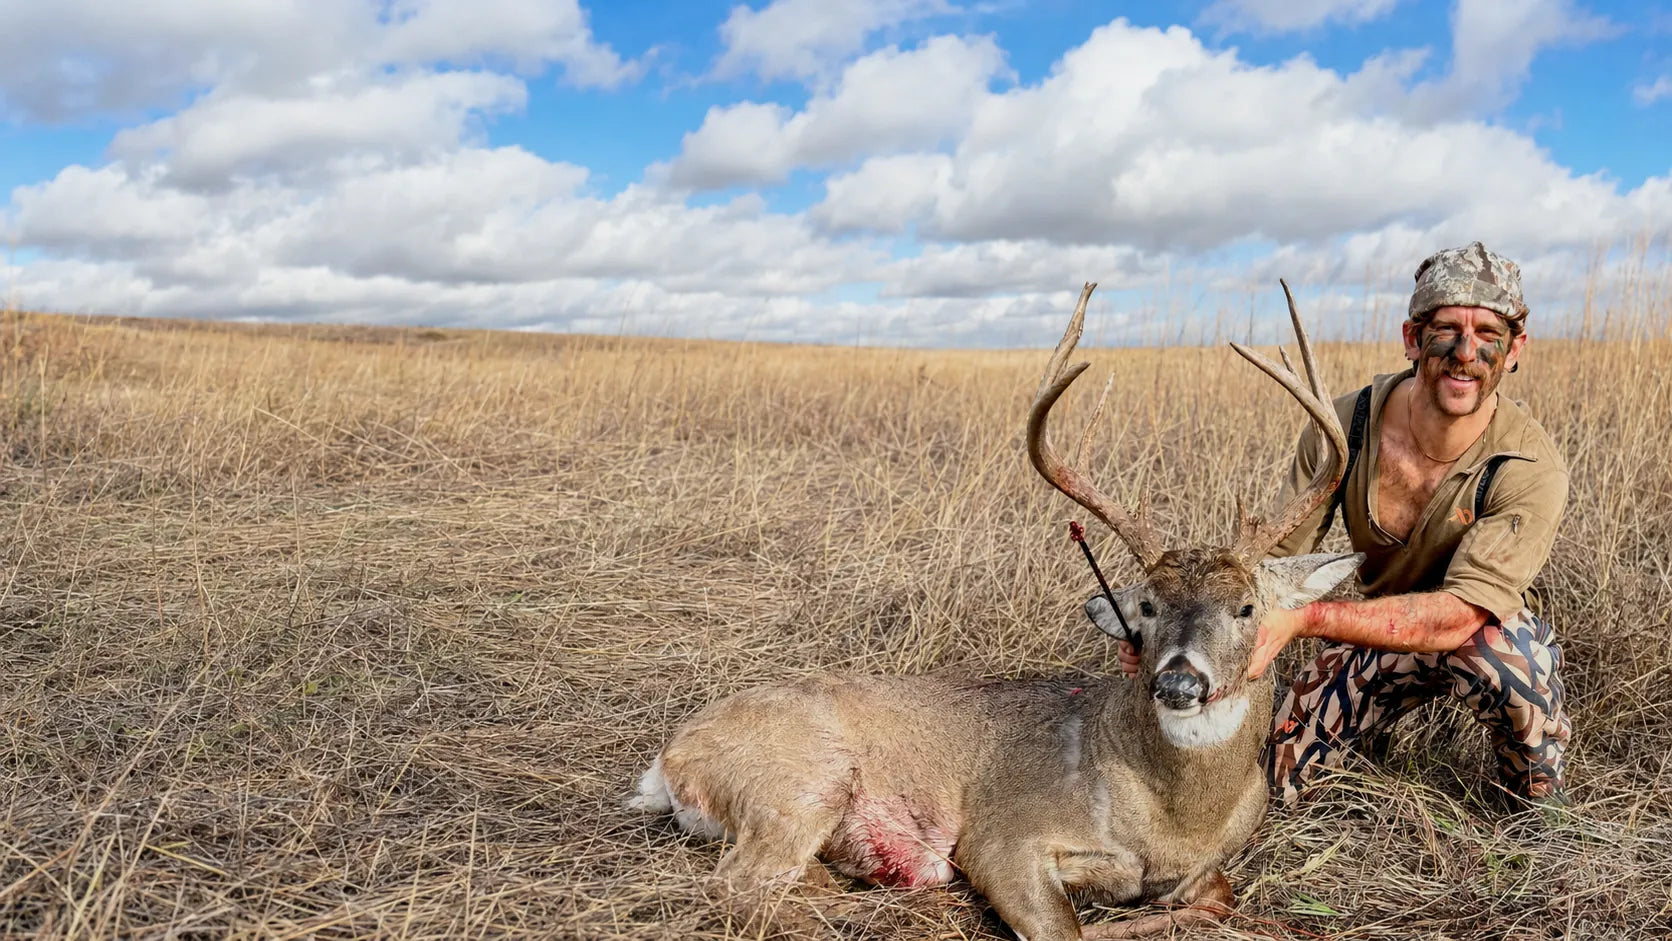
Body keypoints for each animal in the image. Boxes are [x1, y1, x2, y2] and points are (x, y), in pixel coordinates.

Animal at [628, 282, 1362, 939]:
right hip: (803, 782)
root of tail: (670, 758)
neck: (1176, 821)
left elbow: (1217, 897)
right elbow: (1066, 930)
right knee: (739, 887)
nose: (1180, 681)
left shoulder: (1205, 866)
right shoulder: (1003, 837)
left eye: (1246, 606)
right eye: (1148, 606)